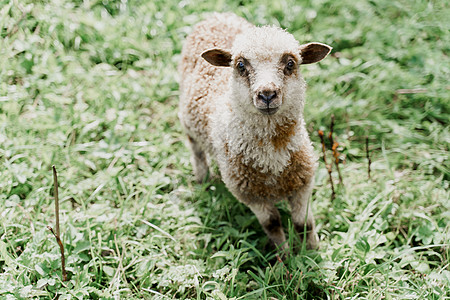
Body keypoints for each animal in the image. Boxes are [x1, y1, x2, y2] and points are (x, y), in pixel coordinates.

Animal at [178, 12, 330, 250]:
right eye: (240, 65)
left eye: (290, 63)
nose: (267, 94)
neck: (272, 157)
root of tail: (214, 15)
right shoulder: (250, 195)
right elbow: (273, 224)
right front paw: (283, 255)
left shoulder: (303, 183)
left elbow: (303, 224)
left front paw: (313, 251)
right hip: (188, 123)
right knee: (197, 151)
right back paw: (204, 179)